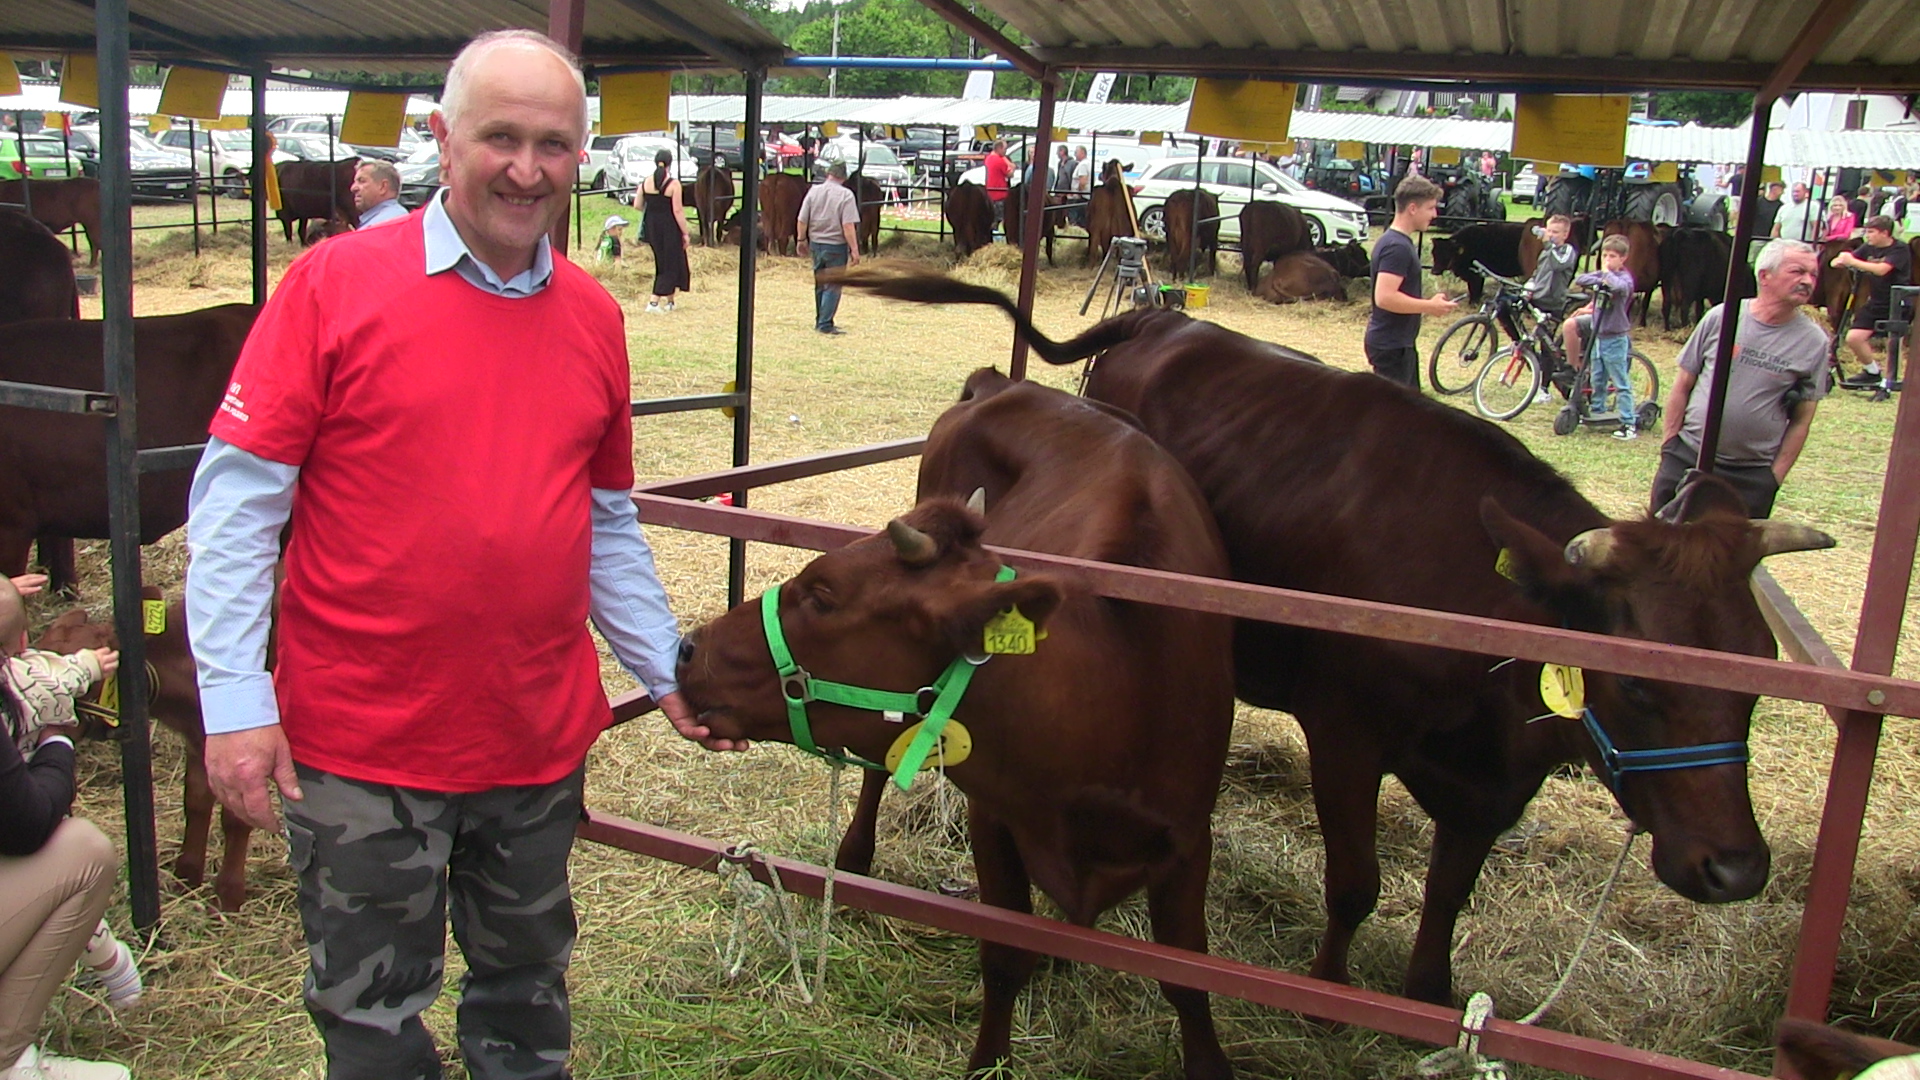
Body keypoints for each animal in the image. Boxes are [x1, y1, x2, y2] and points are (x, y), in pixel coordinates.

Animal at [34, 591, 255, 911]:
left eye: (85, 681)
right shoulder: (198, 740)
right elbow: (195, 801)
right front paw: (186, 877)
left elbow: (236, 818)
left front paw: (228, 896)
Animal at [676, 369, 1235, 1079]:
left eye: (823, 595)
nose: (688, 648)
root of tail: (1002, 382)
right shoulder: (994, 817)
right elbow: (1004, 953)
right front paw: (988, 1059)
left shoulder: (1189, 838)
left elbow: (1190, 982)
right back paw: (853, 859)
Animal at [829, 266, 1837, 1007]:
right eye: (1636, 684)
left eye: (1762, 677)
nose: (1735, 868)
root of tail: (1159, 320)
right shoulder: (1347, 732)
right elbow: (1357, 881)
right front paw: (1326, 992)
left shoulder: (1489, 781)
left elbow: (1449, 891)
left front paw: (1427, 1000)